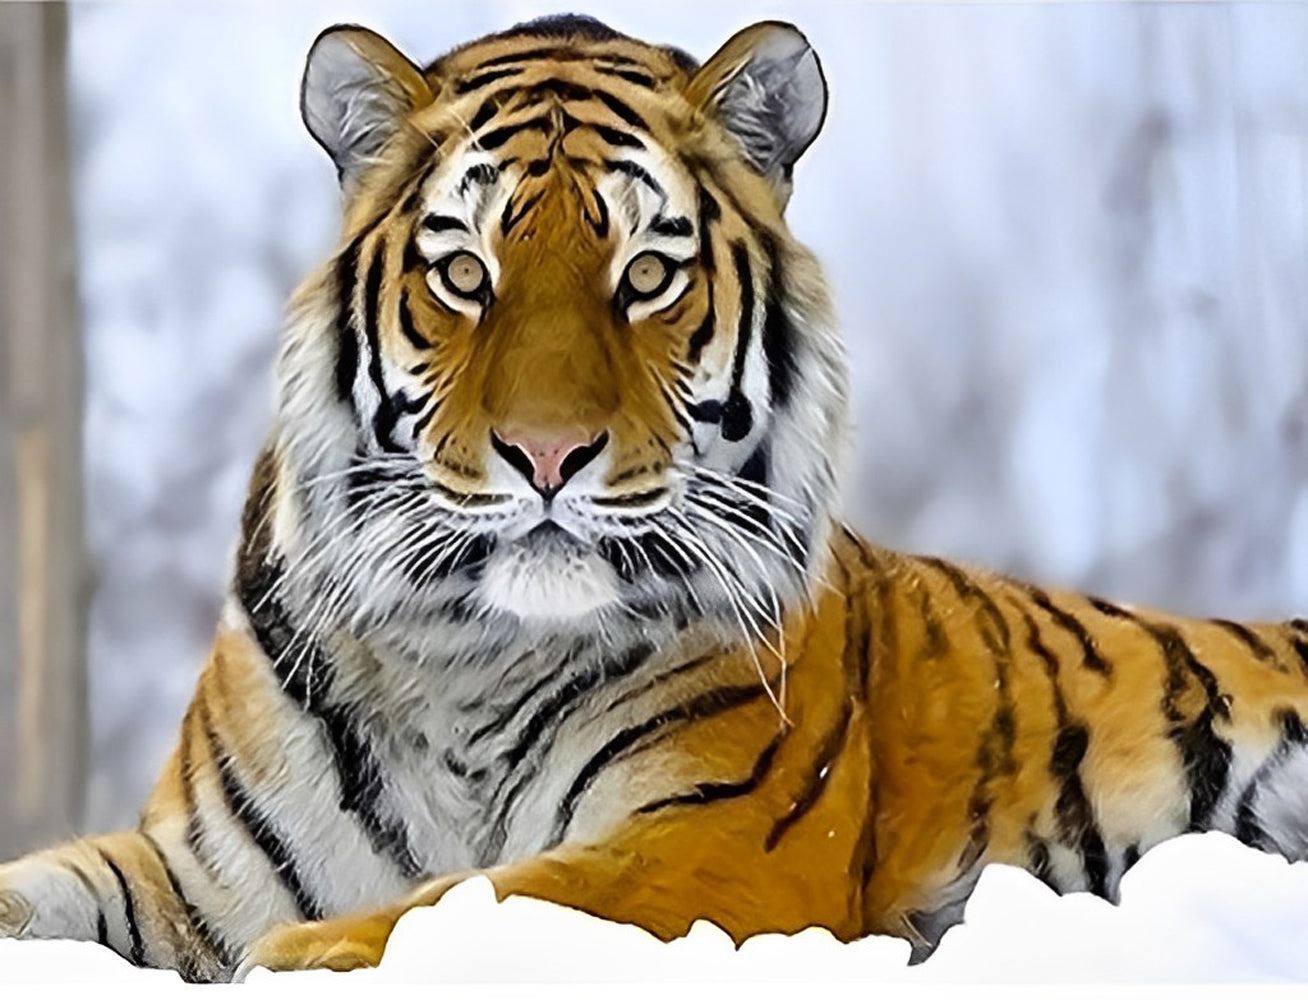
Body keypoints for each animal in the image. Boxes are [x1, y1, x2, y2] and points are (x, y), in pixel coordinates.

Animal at [2, 12, 1306, 983]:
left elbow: (471, 900)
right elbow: (46, 886)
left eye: (646, 274)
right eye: (465, 272)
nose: (546, 454)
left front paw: (295, 960)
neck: (464, 655)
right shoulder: (199, 870)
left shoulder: (714, 838)